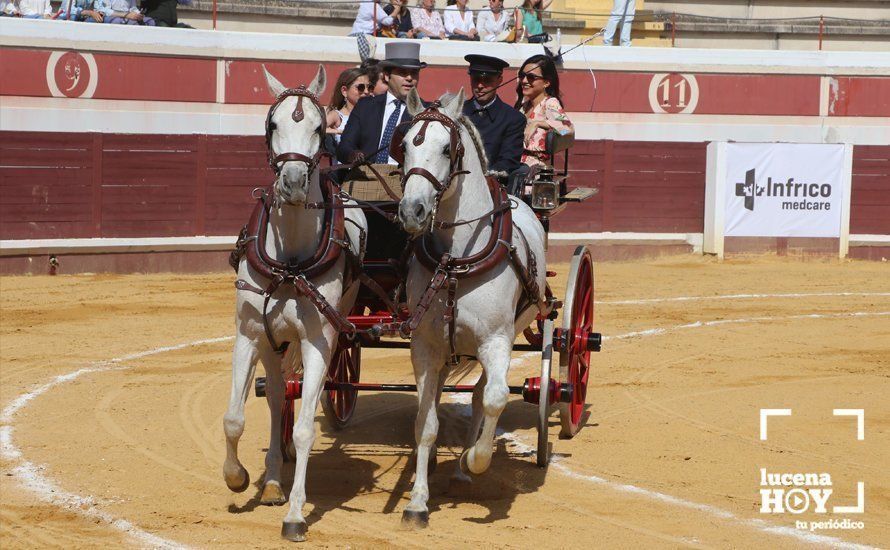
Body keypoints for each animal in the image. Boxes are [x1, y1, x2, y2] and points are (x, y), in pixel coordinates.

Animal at [224, 64, 366, 544]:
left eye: (320, 127)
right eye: (273, 124)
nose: (291, 184)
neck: (289, 260)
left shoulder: (319, 341)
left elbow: (304, 429)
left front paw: (296, 514)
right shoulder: (249, 335)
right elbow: (236, 417)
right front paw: (238, 478)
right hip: (272, 341)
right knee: (274, 397)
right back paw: (270, 482)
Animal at [398, 91, 548, 532]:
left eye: (447, 149)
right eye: (404, 145)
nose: (411, 210)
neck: (455, 261)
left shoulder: (497, 340)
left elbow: (496, 398)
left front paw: (475, 460)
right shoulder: (425, 346)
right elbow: (426, 422)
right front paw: (417, 501)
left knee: (482, 394)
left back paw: (466, 469)